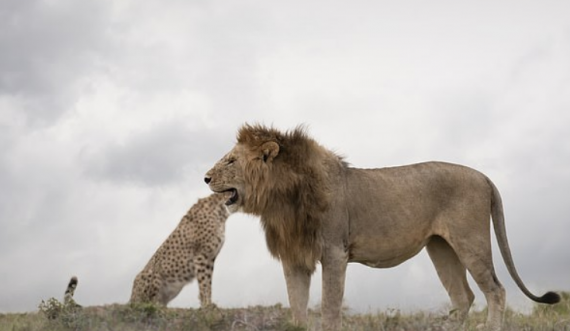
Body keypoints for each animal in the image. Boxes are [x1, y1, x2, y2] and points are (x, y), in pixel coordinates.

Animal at [202, 124, 556, 331]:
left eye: (231, 161)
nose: (205, 177)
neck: (282, 199)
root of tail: (484, 176)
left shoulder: (335, 252)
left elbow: (329, 306)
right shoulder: (295, 259)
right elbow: (297, 307)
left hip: (471, 241)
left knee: (495, 290)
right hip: (440, 247)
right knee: (463, 296)